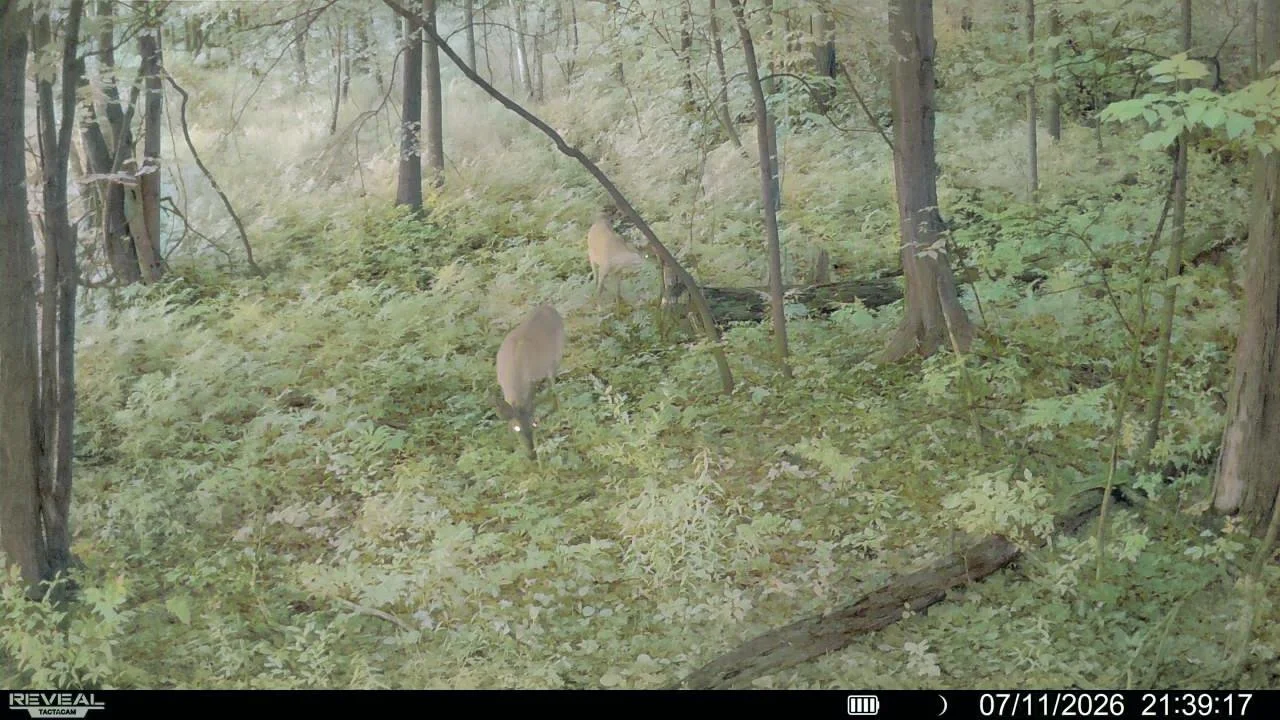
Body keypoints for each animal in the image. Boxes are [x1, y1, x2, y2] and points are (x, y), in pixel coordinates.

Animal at [494, 304, 565, 459]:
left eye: (534, 424)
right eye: (516, 427)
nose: (532, 454)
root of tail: (548, 307)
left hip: (555, 358)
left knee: (554, 389)